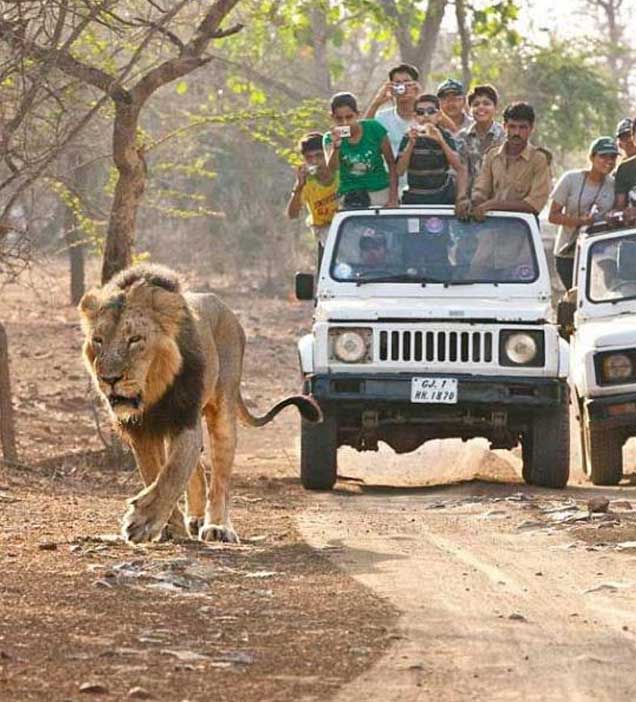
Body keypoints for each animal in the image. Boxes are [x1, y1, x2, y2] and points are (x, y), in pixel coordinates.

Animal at [77, 264, 320, 544]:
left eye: (135, 339)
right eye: (98, 340)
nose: (109, 379)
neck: (154, 391)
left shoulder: (185, 418)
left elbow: (173, 472)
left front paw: (142, 521)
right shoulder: (141, 431)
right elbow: (155, 473)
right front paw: (169, 527)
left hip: (223, 410)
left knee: (220, 479)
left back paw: (217, 526)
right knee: (198, 473)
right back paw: (194, 519)